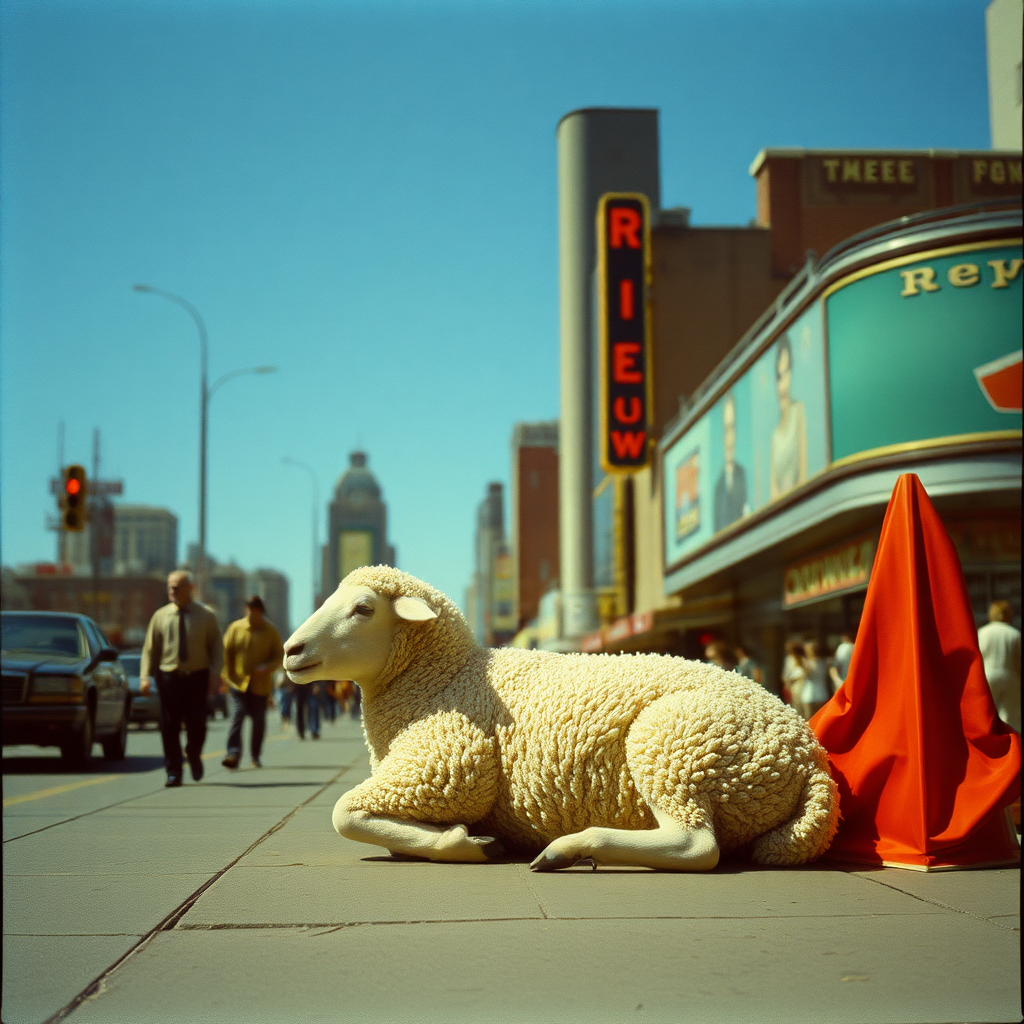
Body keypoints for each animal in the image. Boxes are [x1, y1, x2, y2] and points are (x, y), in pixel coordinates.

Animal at [282, 569, 839, 872]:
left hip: (675, 746)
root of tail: (811, 758)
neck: (445, 676)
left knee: (696, 845)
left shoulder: (447, 764)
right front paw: (451, 839)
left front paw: (465, 844)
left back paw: (568, 849)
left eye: (362, 609)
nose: (291, 650)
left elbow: (344, 814)